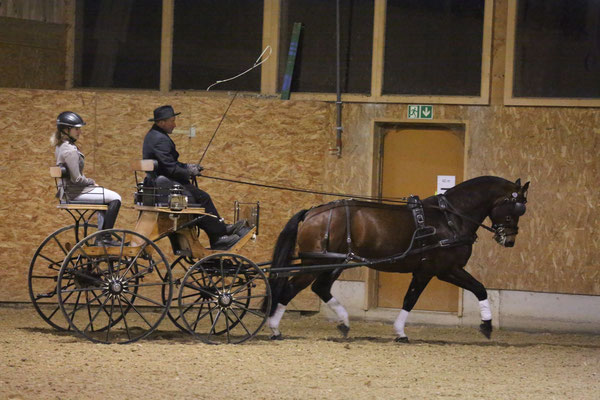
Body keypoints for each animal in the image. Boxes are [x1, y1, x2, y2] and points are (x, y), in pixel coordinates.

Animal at [264, 177, 528, 342]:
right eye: (516, 208)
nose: (509, 240)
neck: (449, 219)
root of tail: (312, 212)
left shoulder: (425, 271)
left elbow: (410, 298)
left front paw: (399, 332)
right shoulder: (443, 270)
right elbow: (478, 288)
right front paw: (487, 326)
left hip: (335, 263)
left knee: (320, 287)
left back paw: (344, 322)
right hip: (315, 264)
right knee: (290, 289)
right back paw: (274, 328)